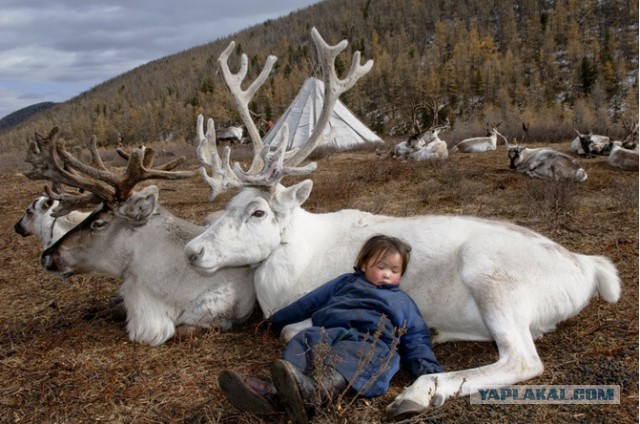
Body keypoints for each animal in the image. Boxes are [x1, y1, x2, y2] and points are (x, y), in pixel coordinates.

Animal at [183, 27, 621, 416]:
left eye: (258, 211)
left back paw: (419, 392)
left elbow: (294, 329)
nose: (192, 251)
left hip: (493, 279)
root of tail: (588, 268)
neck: (292, 265)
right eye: (228, 205)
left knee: (523, 359)